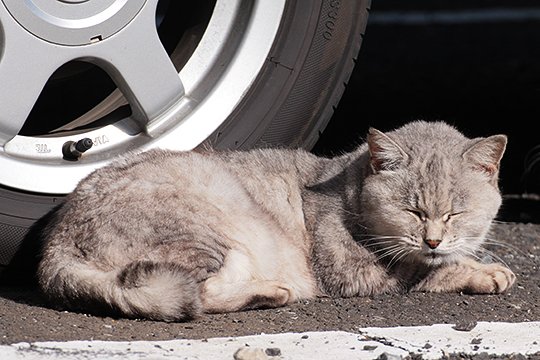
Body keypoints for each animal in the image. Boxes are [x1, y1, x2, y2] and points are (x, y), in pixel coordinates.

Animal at [37, 120, 516, 320]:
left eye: (455, 213)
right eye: (412, 211)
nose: (433, 240)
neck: (347, 184)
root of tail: (54, 247)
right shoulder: (354, 272)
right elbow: (429, 271)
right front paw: (483, 271)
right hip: (202, 233)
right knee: (193, 294)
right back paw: (270, 292)